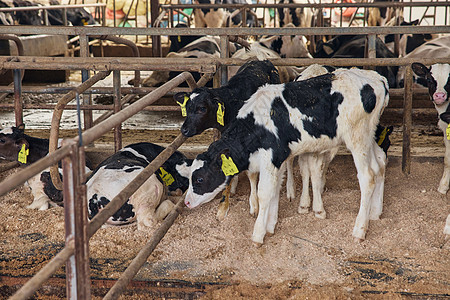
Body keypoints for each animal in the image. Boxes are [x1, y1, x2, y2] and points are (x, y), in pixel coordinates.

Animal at [178, 67, 390, 244]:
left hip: (357, 138)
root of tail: (376, 77)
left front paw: (258, 235)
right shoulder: (278, 158)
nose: (186, 202)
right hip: (369, 136)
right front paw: (271, 226)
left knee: (368, 176)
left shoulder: (271, 158)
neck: (257, 124)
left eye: (199, 179)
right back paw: (375, 212)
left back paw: (359, 229)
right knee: (380, 164)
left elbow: (264, 193)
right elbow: (274, 190)